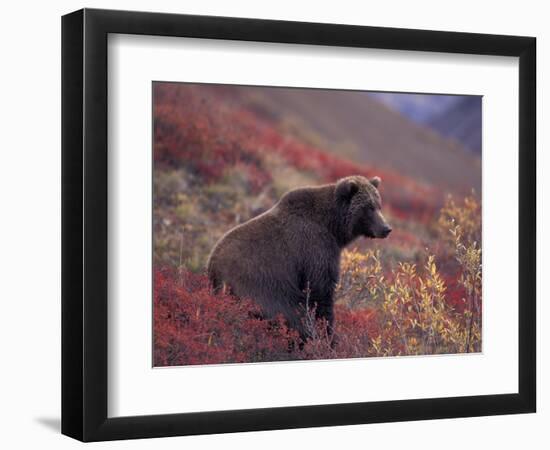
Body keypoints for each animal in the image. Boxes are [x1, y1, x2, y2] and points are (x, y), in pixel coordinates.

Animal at [207, 174, 392, 340]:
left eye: (379, 205)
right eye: (368, 207)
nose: (386, 228)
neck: (333, 227)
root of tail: (214, 267)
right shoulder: (314, 249)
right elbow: (320, 291)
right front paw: (328, 334)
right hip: (261, 286)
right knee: (289, 315)